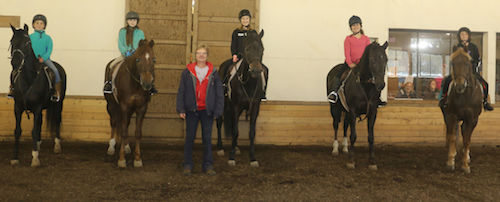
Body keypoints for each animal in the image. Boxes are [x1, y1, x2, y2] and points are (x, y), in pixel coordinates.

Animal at [7, 24, 67, 166]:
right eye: (12, 42)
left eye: (27, 42)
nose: (15, 62)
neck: (29, 79)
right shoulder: (18, 108)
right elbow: (18, 131)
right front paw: (15, 157)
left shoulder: (37, 107)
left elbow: (34, 131)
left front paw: (35, 158)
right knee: (40, 122)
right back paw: (38, 145)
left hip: (59, 104)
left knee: (57, 120)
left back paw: (57, 146)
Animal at [103, 39, 154, 167]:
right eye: (138, 59)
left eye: (153, 59)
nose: (147, 83)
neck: (135, 84)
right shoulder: (124, 107)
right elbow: (124, 132)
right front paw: (121, 160)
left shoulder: (141, 108)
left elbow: (137, 133)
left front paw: (137, 159)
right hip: (111, 105)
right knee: (114, 123)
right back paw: (111, 147)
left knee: (124, 124)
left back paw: (125, 147)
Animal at [216, 29, 268, 166]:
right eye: (247, 49)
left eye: (262, 48)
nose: (256, 70)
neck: (248, 82)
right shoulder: (235, 106)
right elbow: (235, 131)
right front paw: (231, 157)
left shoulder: (255, 107)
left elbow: (251, 132)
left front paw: (253, 158)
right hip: (224, 103)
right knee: (219, 122)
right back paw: (220, 148)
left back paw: (236, 147)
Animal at [326, 41, 388, 170]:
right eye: (372, 60)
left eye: (386, 59)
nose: (381, 84)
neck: (365, 86)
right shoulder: (353, 111)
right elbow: (353, 135)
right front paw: (351, 161)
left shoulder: (372, 112)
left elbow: (371, 137)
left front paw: (372, 162)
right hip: (335, 109)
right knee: (336, 125)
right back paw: (335, 149)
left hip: (346, 111)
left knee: (345, 126)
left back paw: (345, 148)